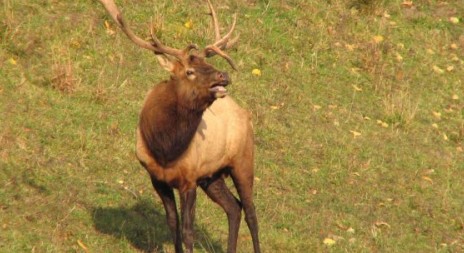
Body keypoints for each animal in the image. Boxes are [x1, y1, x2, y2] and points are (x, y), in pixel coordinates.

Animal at [97, 0, 260, 252]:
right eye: (189, 71)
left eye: (208, 62)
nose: (223, 75)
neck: (166, 149)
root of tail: (245, 113)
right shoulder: (158, 178)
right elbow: (173, 223)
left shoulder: (189, 179)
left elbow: (188, 231)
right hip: (212, 176)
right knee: (234, 207)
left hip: (243, 160)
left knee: (251, 213)